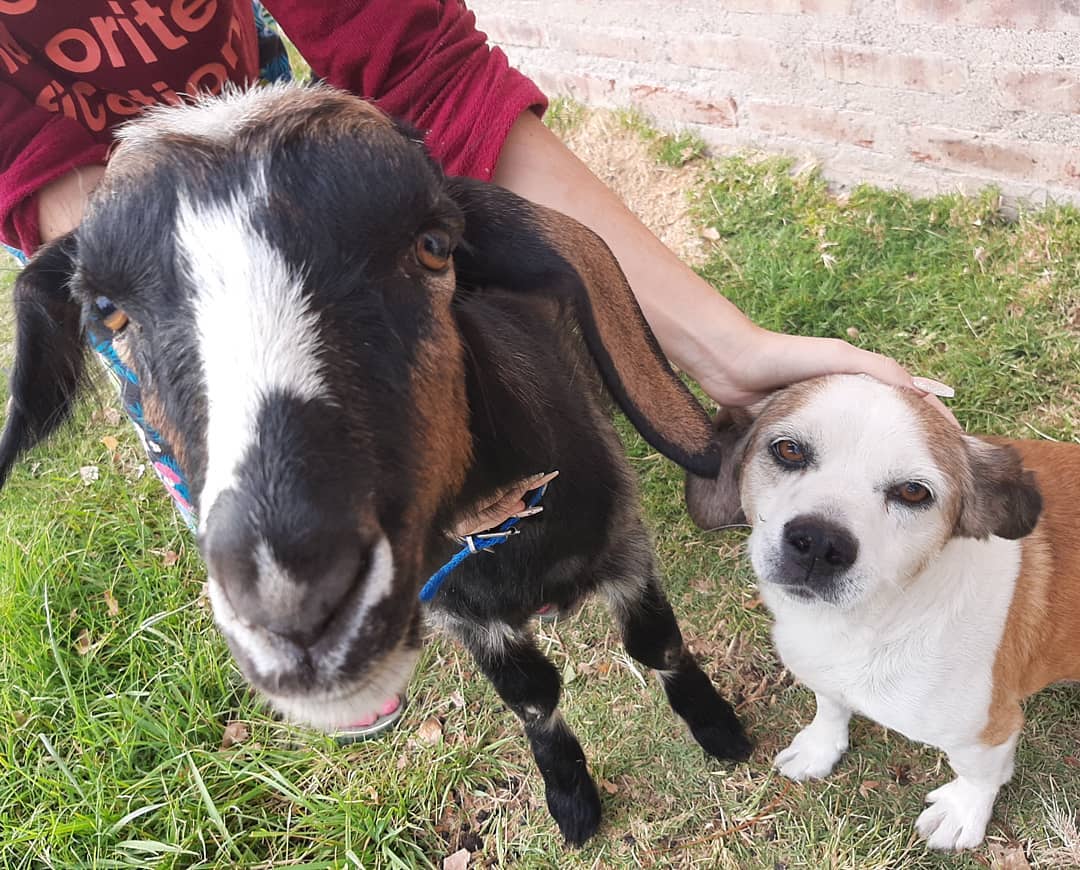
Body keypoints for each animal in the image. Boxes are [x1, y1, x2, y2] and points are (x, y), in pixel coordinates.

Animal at [2, 83, 751, 846]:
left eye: (434, 245)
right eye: (109, 312)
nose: (290, 599)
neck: (502, 536)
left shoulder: (623, 545)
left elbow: (656, 645)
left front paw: (718, 727)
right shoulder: (464, 616)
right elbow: (532, 697)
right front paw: (570, 796)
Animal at [686, 373, 1075, 850]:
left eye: (913, 491)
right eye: (789, 450)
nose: (819, 543)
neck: (868, 622)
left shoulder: (988, 730)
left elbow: (978, 775)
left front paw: (962, 811)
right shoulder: (824, 674)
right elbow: (830, 704)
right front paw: (820, 746)